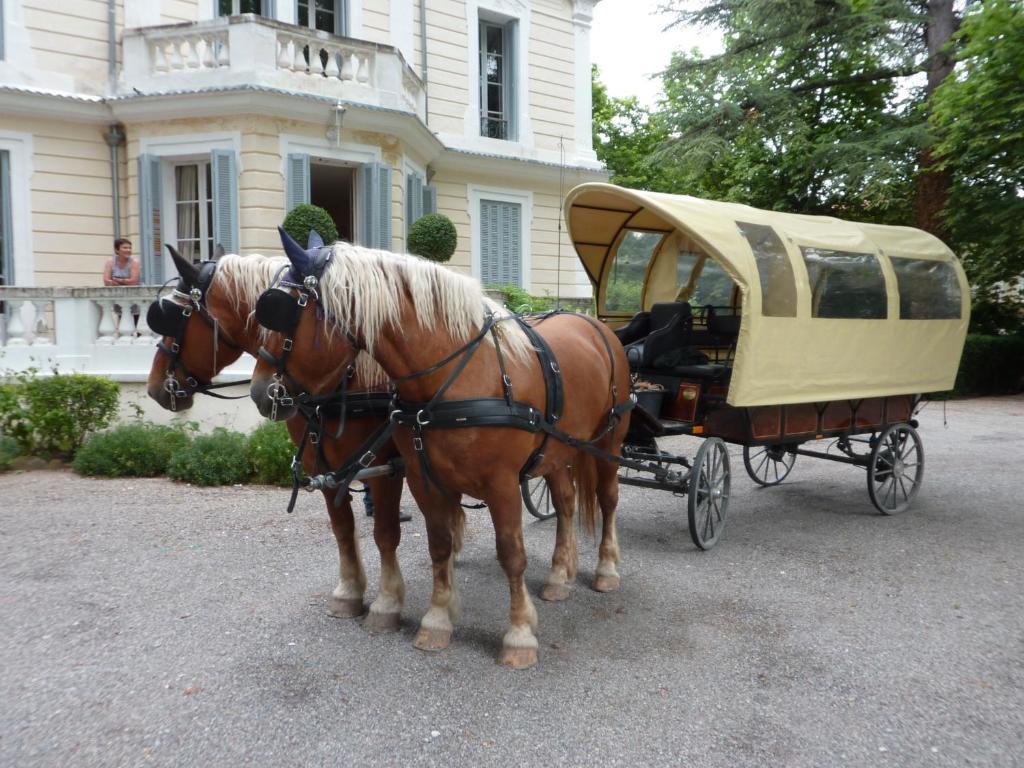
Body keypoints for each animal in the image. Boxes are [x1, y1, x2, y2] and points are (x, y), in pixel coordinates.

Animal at [141, 244, 411, 630]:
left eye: (174, 316)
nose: (152, 386)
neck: (345, 376)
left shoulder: (386, 467)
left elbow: (385, 535)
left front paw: (387, 604)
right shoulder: (324, 467)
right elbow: (342, 529)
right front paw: (348, 593)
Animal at [249, 240, 630, 667]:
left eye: (282, 312)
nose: (261, 392)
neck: (457, 377)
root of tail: (595, 325)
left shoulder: (501, 484)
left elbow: (511, 553)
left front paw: (518, 635)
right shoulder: (424, 478)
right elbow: (439, 544)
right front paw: (437, 619)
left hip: (608, 443)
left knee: (607, 500)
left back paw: (606, 569)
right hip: (558, 450)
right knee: (565, 502)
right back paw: (559, 575)